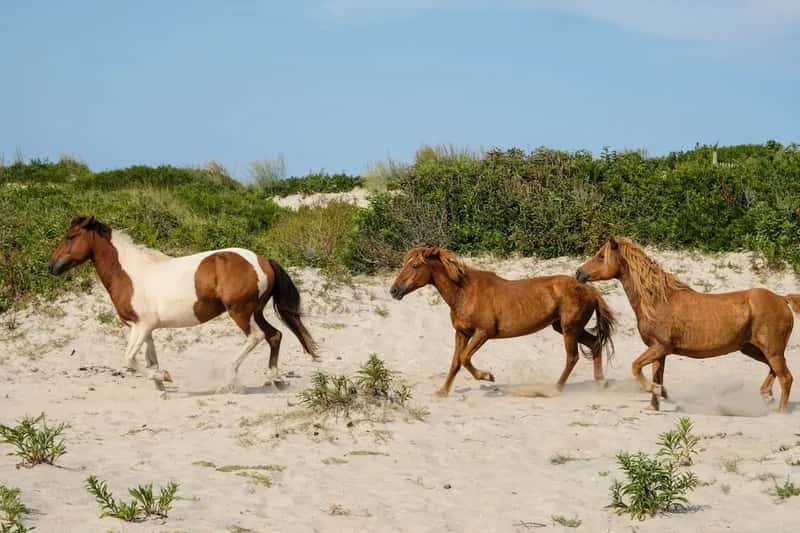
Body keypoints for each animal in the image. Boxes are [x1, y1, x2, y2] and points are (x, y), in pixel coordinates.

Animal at [49, 215, 318, 391]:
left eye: (70, 237)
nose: (52, 267)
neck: (129, 274)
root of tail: (262, 260)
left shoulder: (141, 326)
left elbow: (129, 359)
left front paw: (164, 377)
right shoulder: (144, 328)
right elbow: (150, 358)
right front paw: (159, 383)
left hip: (239, 312)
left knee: (256, 337)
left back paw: (229, 379)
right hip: (256, 311)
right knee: (275, 335)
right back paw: (276, 379)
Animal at [389, 246, 616, 396]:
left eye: (415, 265)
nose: (394, 291)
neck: (464, 292)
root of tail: (590, 289)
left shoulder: (483, 333)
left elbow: (464, 358)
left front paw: (488, 376)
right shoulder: (461, 333)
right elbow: (455, 362)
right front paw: (442, 392)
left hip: (570, 329)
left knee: (572, 357)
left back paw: (556, 388)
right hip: (564, 327)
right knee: (595, 344)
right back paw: (600, 383)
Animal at [576, 236, 800, 412]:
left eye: (601, 256)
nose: (579, 273)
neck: (658, 301)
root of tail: (782, 299)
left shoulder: (661, 347)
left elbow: (636, 367)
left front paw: (659, 392)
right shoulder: (658, 352)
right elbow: (657, 376)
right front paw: (655, 404)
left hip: (771, 350)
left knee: (786, 378)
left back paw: (779, 412)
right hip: (752, 349)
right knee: (775, 371)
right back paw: (766, 395)